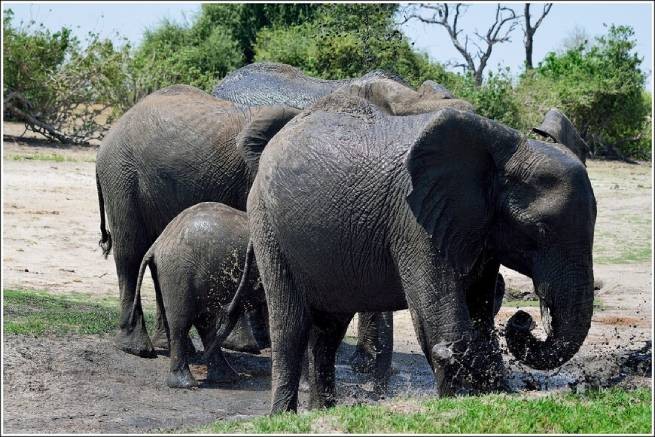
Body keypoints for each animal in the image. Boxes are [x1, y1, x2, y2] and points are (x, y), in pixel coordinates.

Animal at [128, 203, 262, 386]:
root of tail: (156, 244)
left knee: (204, 322)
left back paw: (225, 377)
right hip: (180, 272)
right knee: (182, 323)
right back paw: (187, 384)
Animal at [237, 92, 600, 412]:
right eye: (539, 231)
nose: (523, 319)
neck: (504, 152)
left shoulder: (477, 226)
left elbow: (479, 312)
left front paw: (496, 392)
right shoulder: (413, 220)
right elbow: (441, 317)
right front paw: (459, 399)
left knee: (328, 331)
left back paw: (322, 412)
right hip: (267, 223)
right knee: (291, 327)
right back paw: (282, 416)